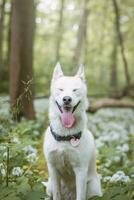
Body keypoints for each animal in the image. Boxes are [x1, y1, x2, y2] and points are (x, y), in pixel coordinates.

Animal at [43, 63, 101, 200]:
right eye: (60, 89)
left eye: (75, 90)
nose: (67, 99)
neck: (65, 135)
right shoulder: (52, 168)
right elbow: (57, 195)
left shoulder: (80, 170)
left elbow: (80, 196)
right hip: (50, 186)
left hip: (94, 188)